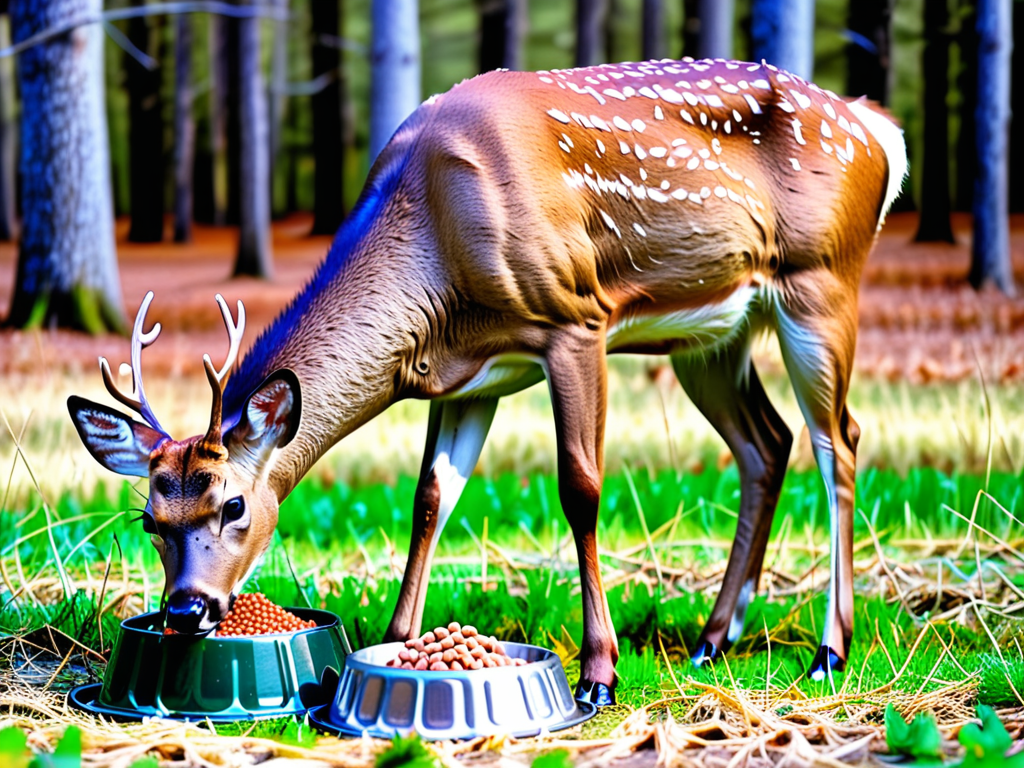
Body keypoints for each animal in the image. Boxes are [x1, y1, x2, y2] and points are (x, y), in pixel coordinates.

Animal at [68, 56, 906, 706]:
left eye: (234, 503)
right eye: (150, 519)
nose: (186, 610)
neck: (435, 252)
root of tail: (880, 132)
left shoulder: (576, 317)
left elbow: (580, 488)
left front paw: (598, 675)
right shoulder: (471, 376)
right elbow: (429, 500)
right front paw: (400, 644)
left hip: (823, 279)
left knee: (841, 440)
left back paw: (829, 649)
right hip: (709, 334)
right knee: (767, 442)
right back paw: (711, 637)